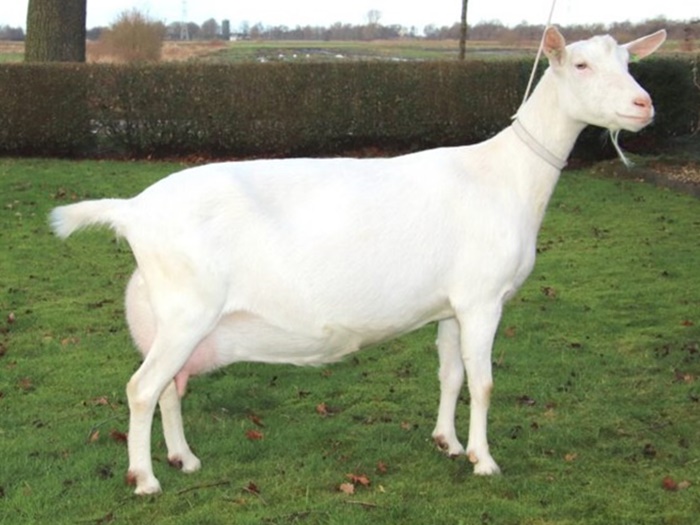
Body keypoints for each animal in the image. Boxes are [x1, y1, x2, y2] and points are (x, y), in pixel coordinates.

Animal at [50, 27, 666, 495]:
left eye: (629, 62)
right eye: (581, 64)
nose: (644, 104)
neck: (505, 176)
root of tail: (133, 210)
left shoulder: (451, 304)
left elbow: (451, 373)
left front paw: (447, 442)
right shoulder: (482, 299)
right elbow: (485, 381)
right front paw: (484, 460)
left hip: (174, 318)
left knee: (168, 388)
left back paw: (185, 459)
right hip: (187, 310)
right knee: (141, 388)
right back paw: (145, 479)